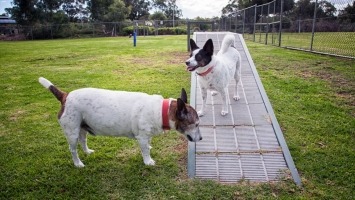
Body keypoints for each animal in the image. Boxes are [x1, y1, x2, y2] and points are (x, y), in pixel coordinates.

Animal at [39, 77, 203, 168]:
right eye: (196, 124)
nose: (201, 138)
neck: (161, 110)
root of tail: (65, 96)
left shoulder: (146, 135)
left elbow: (148, 144)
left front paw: (149, 147)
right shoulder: (142, 136)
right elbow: (145, 150)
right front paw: (148, 160)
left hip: (82, 127)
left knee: (83, 140)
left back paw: (87, 151)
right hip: (71, 132)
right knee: (73, 149)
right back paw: (78, 163)